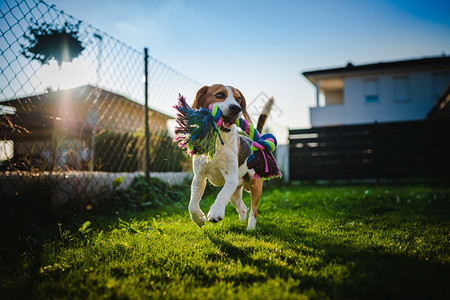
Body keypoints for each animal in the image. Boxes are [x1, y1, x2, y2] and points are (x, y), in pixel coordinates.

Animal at [189, 84, 272, 230]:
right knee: (243, 207)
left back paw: (250, 228)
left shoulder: (230, 178)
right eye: (219, 95)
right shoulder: (199, 178)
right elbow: (192, 205)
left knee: (254, 210)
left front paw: (215, 212)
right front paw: (198, 219)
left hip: (255, 186)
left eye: (238, 99)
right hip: (235, 191)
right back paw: (242, 221)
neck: (217, 140)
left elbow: (221, 194)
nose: (236, 108)